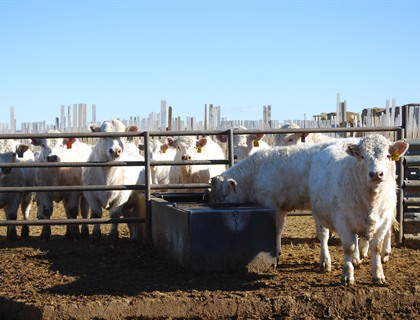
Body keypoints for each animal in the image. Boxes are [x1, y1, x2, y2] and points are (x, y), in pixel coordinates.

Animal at [306, 134, 408, 284]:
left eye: (388, 155)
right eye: (362, 156)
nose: (376, 174)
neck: (371, 200)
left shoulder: (384, 219)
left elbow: (376, 247)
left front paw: (378, 274)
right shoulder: (343, 220)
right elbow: (349, 247)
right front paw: (347, 275)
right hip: (320, 216)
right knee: (324, 236)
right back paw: (325, 261)